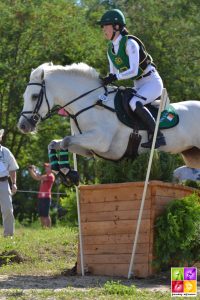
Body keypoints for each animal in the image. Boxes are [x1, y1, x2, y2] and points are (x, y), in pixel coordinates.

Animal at [18, 61, 200, 168]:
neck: (90, 102)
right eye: (24, 96)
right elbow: (56, 143)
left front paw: (68, 174)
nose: (22, 126)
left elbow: (65, 141)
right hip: (192, 154)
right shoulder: (89, 148)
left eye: (34, 96)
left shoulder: (101, 141)